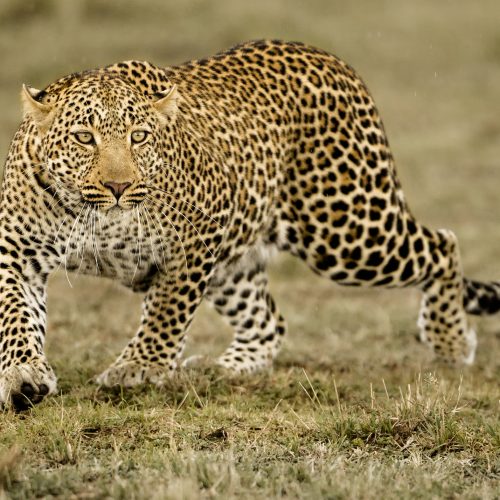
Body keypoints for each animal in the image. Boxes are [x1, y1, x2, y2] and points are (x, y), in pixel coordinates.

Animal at [0, 41, 500, 410]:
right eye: (84, 138)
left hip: (348, 230)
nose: (119, 186)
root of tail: (331, 59)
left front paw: (138, 368)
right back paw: (221, 368)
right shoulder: (16, 252)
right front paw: (24, 375)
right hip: (239, 264)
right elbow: (16, 315)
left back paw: (451, 341)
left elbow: (167, 311)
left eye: (138, 137)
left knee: (443, 245)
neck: (94, 218)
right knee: (269, 321)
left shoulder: (201, 231)